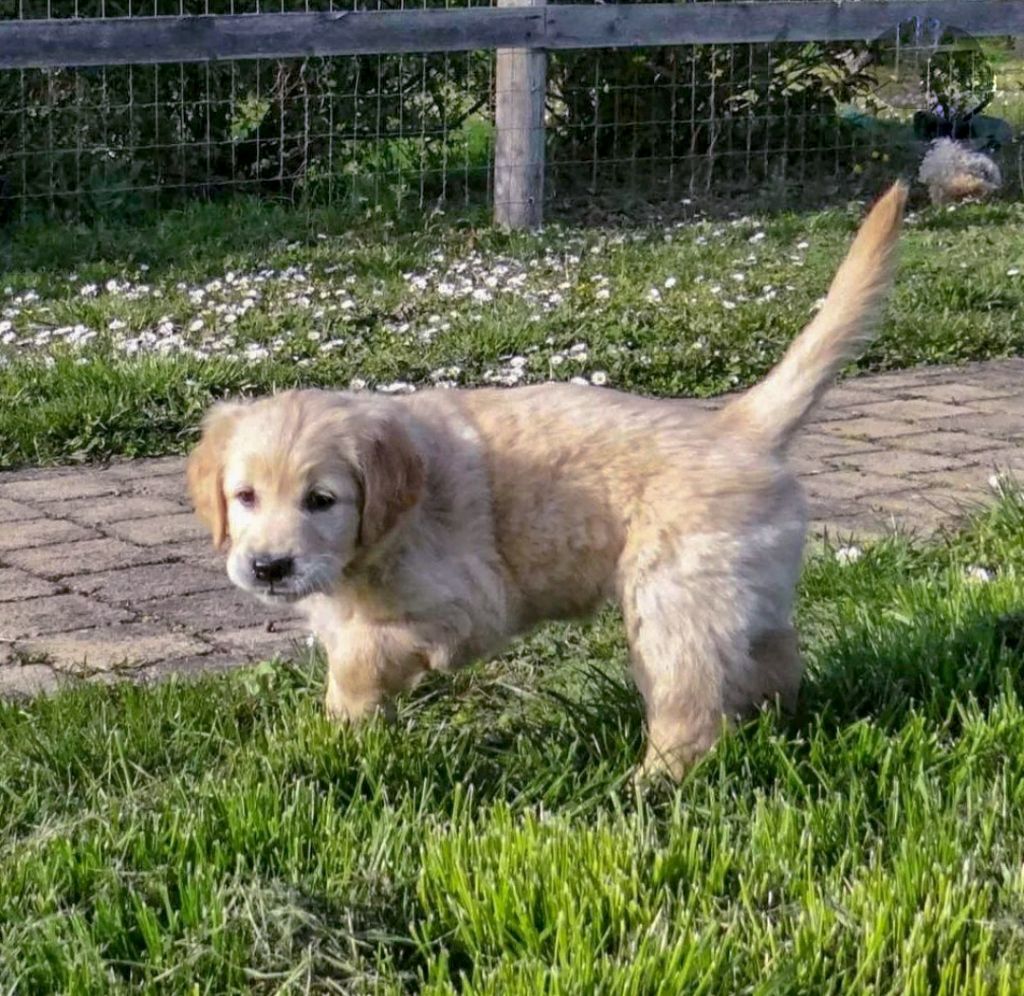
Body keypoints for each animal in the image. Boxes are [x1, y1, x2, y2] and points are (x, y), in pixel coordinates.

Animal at [190, 184, 905, 777]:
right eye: (244, 497)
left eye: (322, 501)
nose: (268, 567)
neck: (375, 542)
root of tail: (737, 426)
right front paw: (345, 742)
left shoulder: (467, 604)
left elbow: (361, 659)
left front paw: (346, 713)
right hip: (747, 594)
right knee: (775, 659)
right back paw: (780, 726)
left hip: (674, 608)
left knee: (692, 709)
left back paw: (650, 785)